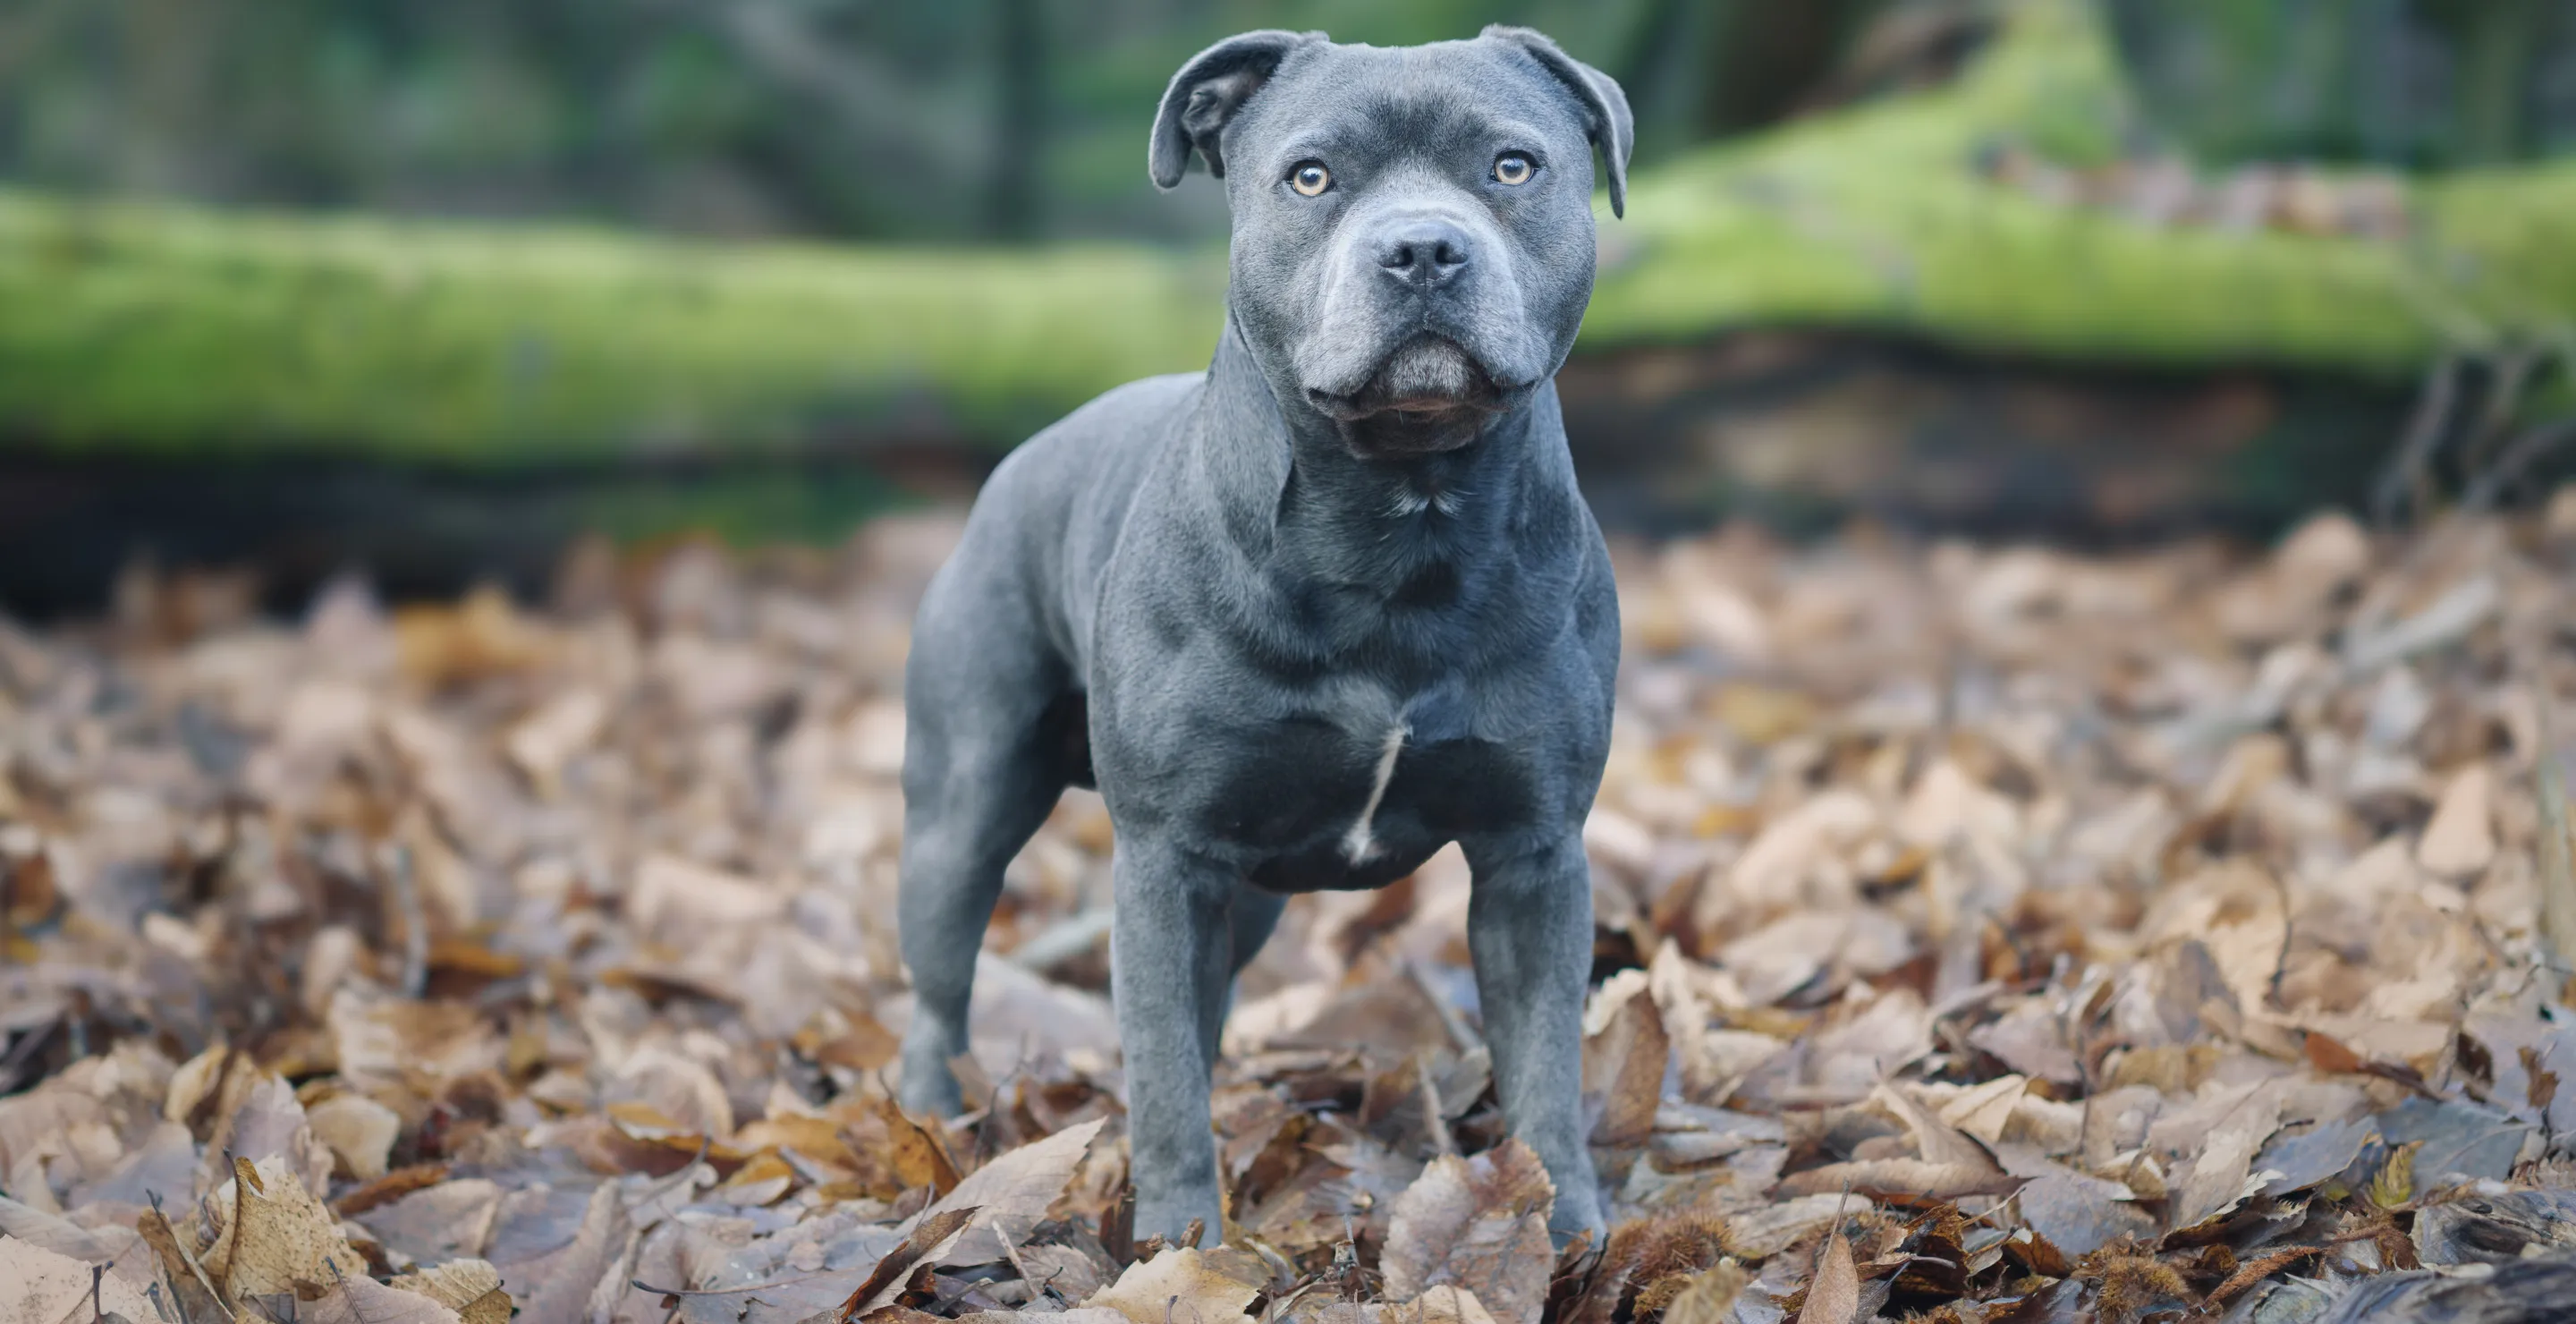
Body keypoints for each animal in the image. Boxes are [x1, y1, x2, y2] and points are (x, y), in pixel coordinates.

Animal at [902, 22, 1628, 1246]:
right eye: (1312, 177)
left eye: (1513, 166)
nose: (1423, 248)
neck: (1402, 523)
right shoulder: (1164, 859)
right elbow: (1158, 1072)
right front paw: (1178, 1241)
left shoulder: (1532, 856)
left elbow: (1544, 1059)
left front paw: (1565, 1224)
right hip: (966, 802)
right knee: (941, 973)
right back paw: (928, 1119)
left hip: (1243, 895)